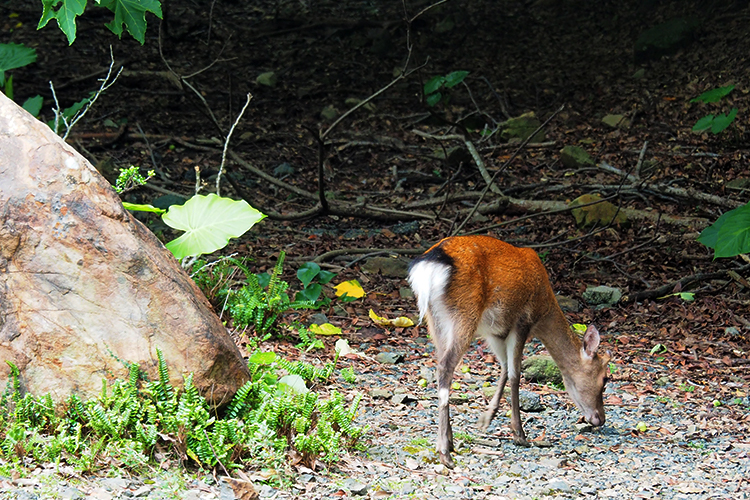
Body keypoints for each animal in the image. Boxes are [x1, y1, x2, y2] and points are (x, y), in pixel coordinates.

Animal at [408, 235, 612, 468]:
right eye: (604, 379)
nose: (600, 418)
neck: (544, 309)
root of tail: (430, 264)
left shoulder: (496, 332)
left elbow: (505, 368)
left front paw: (486, 419)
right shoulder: (522, 321)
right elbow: (516, 374)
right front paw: (519, 434)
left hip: (436, 320)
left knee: (441, 362)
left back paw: (449, 442)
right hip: (464, 314)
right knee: (445, 366)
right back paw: (445, 453)